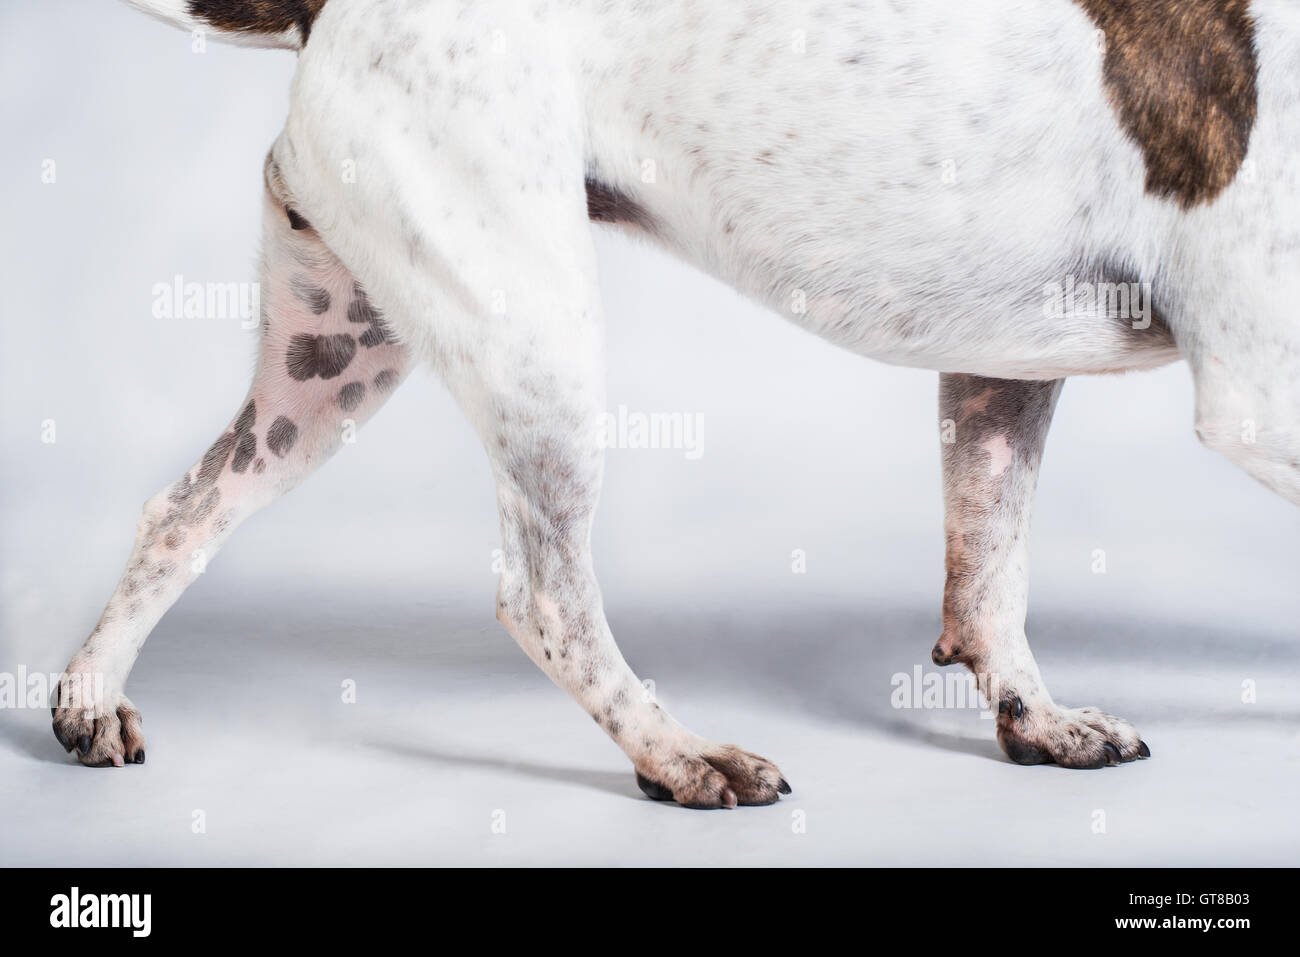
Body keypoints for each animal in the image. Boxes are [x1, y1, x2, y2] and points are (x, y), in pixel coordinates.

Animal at [58, 0, 1300, 806]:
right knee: (544, 597)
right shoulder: (1259, 397)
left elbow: (986, 581)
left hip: (333, 360)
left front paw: (1036, 721)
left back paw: (83, 697)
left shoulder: (1004, 370)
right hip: (536, 336)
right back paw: (676, 754)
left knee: (182, 509)